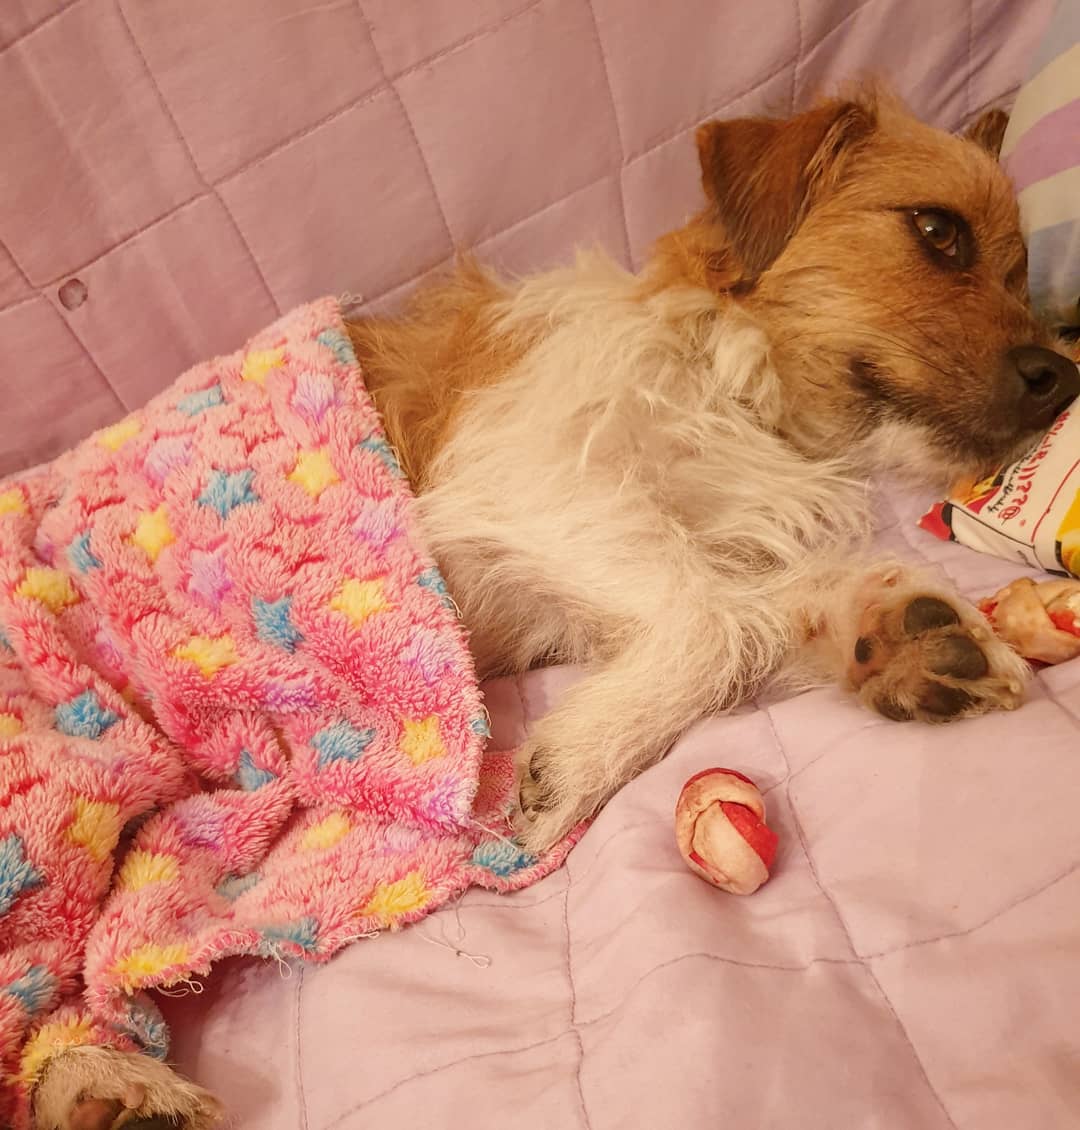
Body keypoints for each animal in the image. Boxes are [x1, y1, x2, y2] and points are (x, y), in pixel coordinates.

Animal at [33, 87, 1079, 1130]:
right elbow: (712, 618)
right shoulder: (532, 483)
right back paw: (99, 1083)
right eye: (938, 232)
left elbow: (746, 606)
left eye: (1022, 272)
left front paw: (892, 628)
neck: (738, 385)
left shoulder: (601, 575)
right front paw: (570, 769)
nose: (1063, 376)